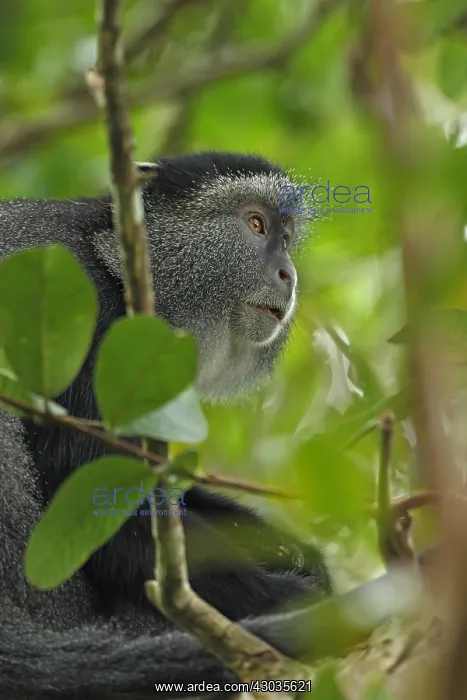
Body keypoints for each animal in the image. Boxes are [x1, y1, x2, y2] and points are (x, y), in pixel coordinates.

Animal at [0, 152, 332, 698]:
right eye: (256, 224)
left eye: (285, 238)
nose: (288, 274)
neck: (108, 260)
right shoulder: (87, 318)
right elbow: (100, 505)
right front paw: (289, 598)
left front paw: (290, 550)